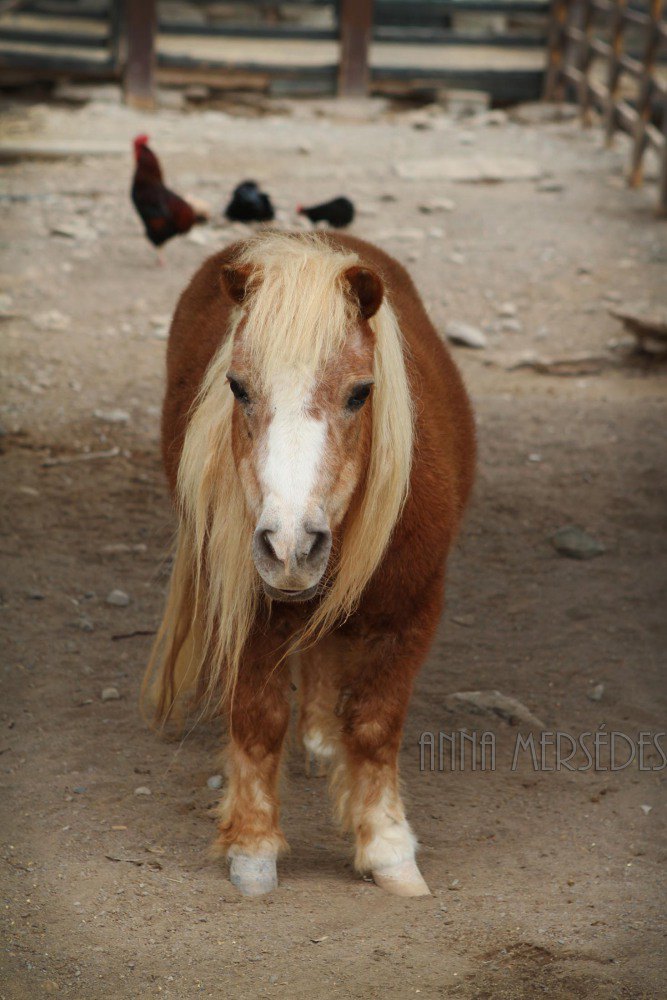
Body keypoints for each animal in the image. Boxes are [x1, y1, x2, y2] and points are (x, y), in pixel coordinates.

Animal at [149, 229, 478, 900]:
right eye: (237, 387)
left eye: (359, 392)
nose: (290, 546)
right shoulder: (249, 611)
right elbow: (258, 719)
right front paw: (252, 850)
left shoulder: (413, 612)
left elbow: (375, 725)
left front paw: (387, 849)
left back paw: (324, 742)